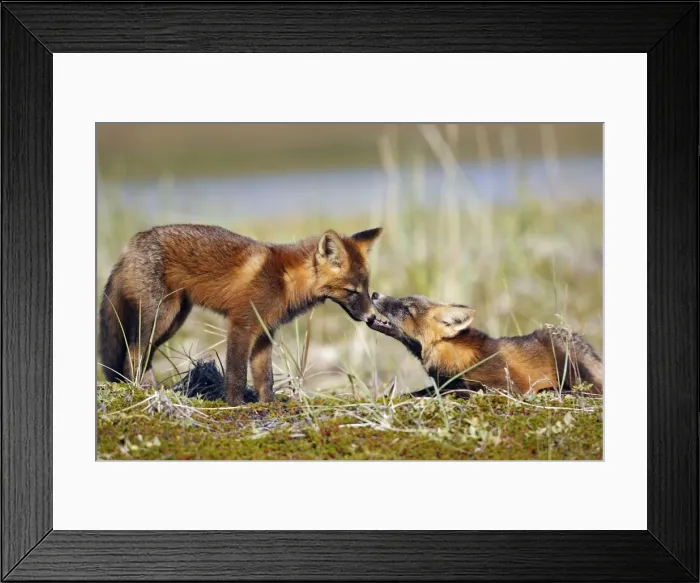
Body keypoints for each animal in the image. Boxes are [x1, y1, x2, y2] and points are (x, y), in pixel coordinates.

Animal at [99, 224, 383, 405]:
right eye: (351, 291)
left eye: (367, 288)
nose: (372, 317)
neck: (286, 281)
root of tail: (132, 244)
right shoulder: (241, 325)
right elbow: (236, 374)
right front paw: (235, 405)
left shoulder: (265, 333)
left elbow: (264, 377)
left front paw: (269, 404)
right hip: (161, 317)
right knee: (133, 354)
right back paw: (143, 391)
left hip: (173, 320)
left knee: (142, 355)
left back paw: (156, 392)